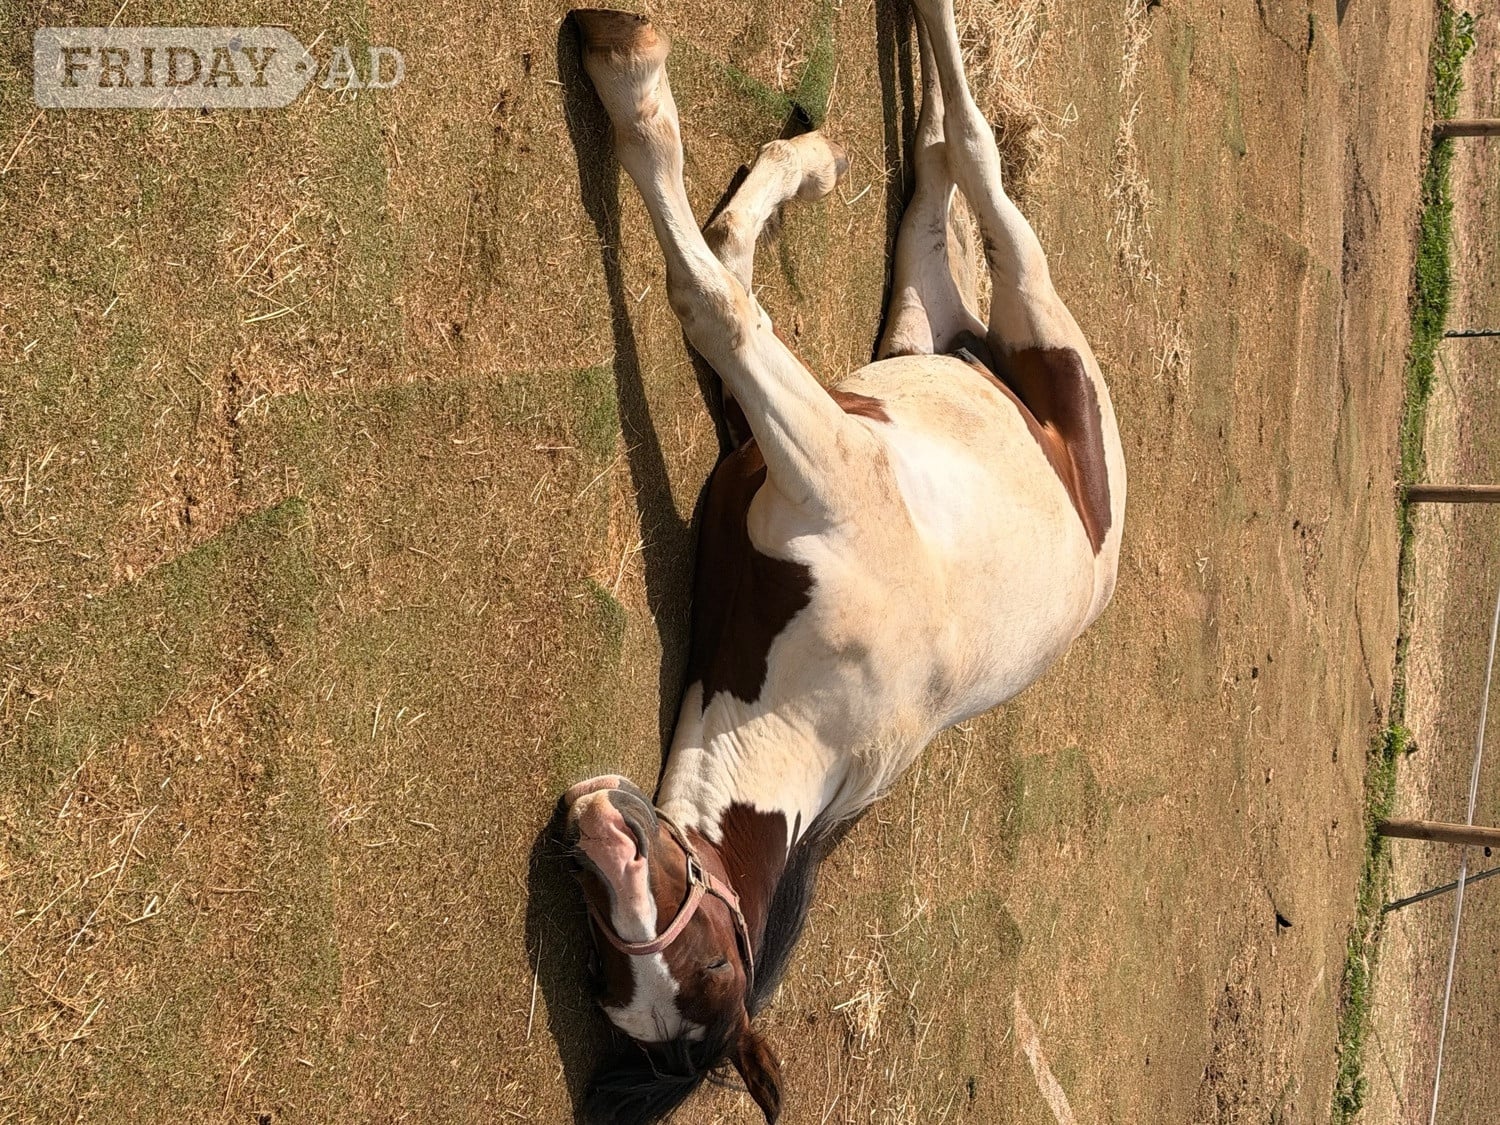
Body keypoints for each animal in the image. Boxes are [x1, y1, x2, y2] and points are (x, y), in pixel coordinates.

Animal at [561, 1, 1126, 1119]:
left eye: (707, 967)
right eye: (605, 968)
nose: (596, 825)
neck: (810, 698)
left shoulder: (816, 452)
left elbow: (714, 299)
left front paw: (629, 73)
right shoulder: (771, 441)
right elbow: (727, 273)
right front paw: (790, 159)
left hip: (1037, 316)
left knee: (980, 160)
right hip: (921, 322)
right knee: (938, 182)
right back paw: (838, 141)